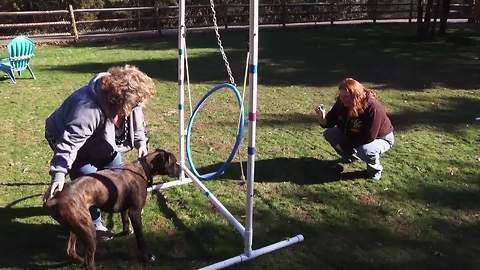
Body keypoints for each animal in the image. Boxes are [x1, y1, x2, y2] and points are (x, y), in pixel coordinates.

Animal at [44, 150, 180, 270]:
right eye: (174, 162)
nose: (180, 168)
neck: (143, 168)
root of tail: (55, 199)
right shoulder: (135, 212)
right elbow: (141, 238)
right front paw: (147, 256)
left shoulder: (126, 209)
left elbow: (125, 220)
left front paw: (126, 232)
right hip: (88, 229)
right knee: (88, 261)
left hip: (75, 227)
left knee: (71, 250)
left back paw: (80, 260)